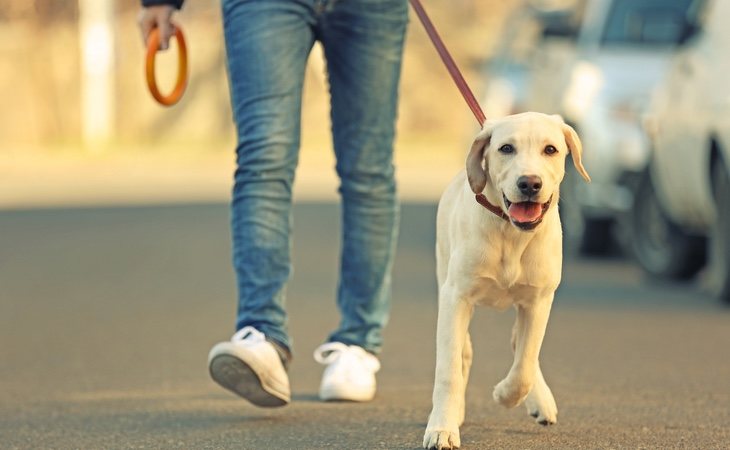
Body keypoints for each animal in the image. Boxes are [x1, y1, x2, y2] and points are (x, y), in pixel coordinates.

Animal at [424, 110, 588, 448]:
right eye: (506, 148)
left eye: (550, 150)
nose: (529, 183)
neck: (511, 234)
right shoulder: (456, 297)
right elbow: (448, 369)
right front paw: (442, 427)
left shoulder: (538, 300)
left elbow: (525, 363)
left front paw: (505, 394)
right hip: (446, 275)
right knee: (464, 351)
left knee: (522, 346)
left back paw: (541, 400)